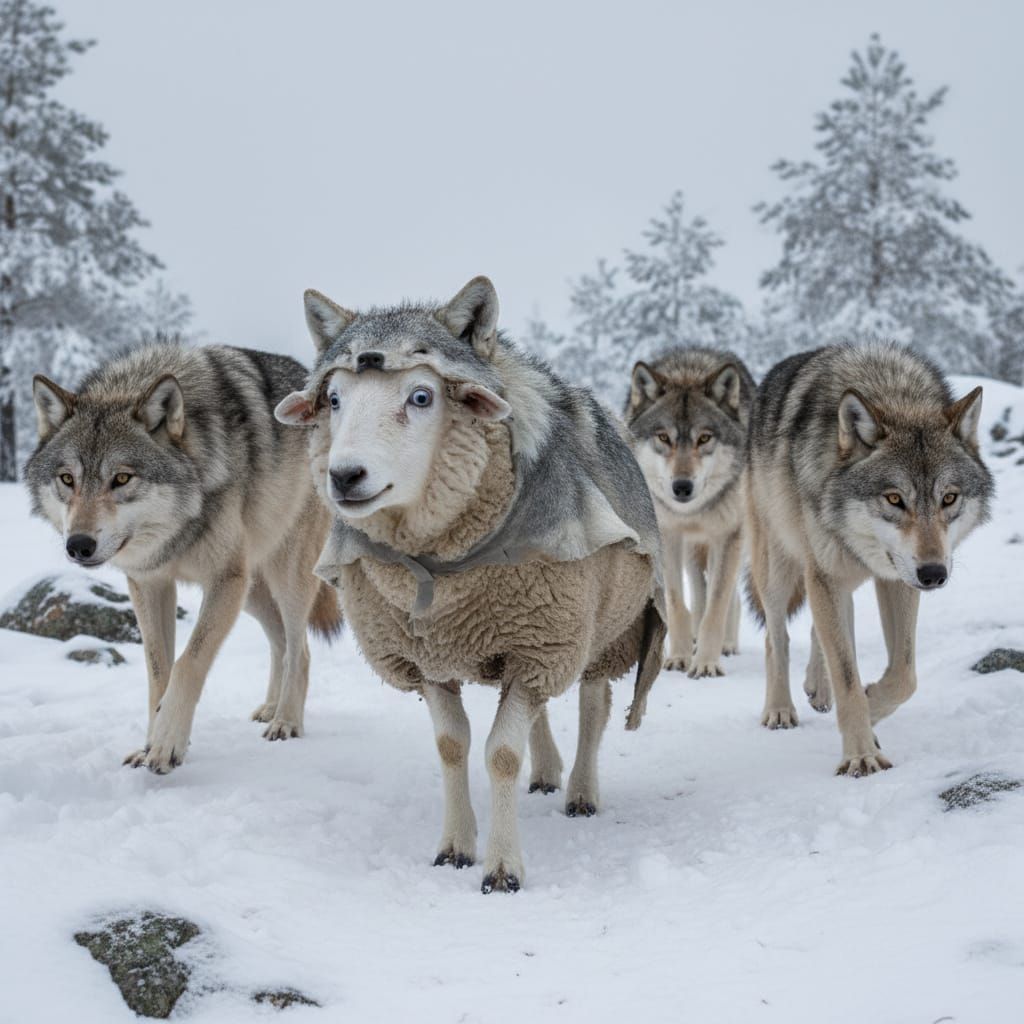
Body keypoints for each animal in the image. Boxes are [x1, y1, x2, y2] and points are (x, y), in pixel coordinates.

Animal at [24, 343, 341, 773]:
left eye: (121, 478)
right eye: (67, 479)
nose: (78, 545)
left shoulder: (223, 580)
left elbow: (188, 663)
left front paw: (166, 744)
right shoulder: (149, 583)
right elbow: (159, 670)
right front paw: (148, 744)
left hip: (285, 575)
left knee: (301, 648)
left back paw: (286, 721)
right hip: (252, 592)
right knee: (281, 644)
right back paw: (270, 708)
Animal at [276, 276, 666, 892]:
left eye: (421, 396)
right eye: (333, 399)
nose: (344, 477)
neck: (444, 574)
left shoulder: (542, 643)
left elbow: (501, 753)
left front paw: (503, 868)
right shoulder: (433, 652)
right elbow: (452, 746)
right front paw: (455, 847)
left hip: (602, 629)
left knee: (593, 708)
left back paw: (581, 791)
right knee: (545, 714)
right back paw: (548, 771)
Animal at [625, 348, 756, 678]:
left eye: (704, 438)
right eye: (664, 438)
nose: (682, 487)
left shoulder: (728, 536)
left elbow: (716, 606)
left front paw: (707, 663)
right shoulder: (668, 535)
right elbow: (677, 604)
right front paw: (680, 657)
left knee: (730, 598)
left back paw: (727, 645)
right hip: (693, 552)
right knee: (697, 593)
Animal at [746, 343, 993, 775]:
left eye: (949, 498)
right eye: (894, 498)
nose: (934, 574)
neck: (892, 393)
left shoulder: (898, 579)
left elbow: (904, 675)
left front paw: (870, 706)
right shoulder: (827, 572)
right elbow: (846, 674)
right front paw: (861, 754)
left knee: (825, 629)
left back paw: (818, 686)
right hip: (779, 567)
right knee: (776, 638)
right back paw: (779, 709)